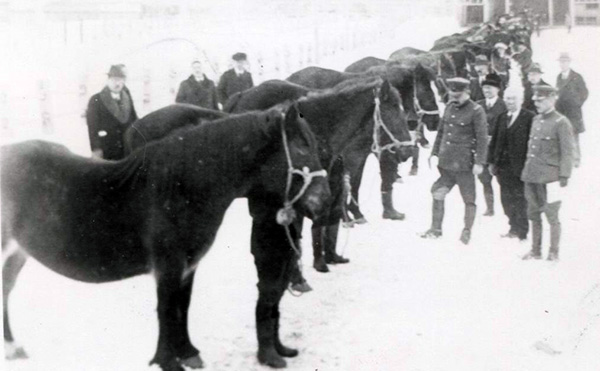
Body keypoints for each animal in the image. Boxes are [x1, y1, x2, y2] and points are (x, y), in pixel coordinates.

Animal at [2, 105, 330, 371]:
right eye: (302, 149)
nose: (324, 202)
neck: (181, 187)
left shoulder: (188, 266)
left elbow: (182, 307)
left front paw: (188, 353)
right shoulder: (168, 267)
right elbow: (167, 310)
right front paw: (167, 361)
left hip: (18, 252)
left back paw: (13, 347)